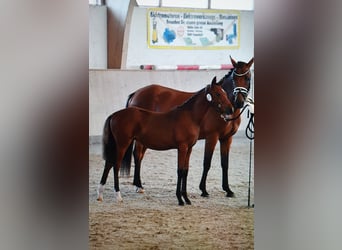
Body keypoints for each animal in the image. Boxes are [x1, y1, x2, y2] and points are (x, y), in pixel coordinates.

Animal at [97, 77, 234, 205]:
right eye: (218, 94)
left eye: (225, 92)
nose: (231, 109)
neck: (190, 117)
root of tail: (114, 115)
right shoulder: (182, 147)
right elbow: (180, 171)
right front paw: (180, 199)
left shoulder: (189, 148)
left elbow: (185, 171)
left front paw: (187, 199)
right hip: (122, 144)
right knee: (116, 165)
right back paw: (118, 196)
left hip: (117, 145)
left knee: (108, 164)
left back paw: (100, 195)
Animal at [124, 56, 252, 197]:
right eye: (234, 78)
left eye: (248, 78)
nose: (239, 102)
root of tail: (136, 93)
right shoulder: (212, 137)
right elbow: (207, 163)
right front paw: (203, 190)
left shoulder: (226, 138)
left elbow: (225, 164)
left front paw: (228, 189)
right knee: (137, 155)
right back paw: (138, 185)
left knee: (140, 156)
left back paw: (138, 185)